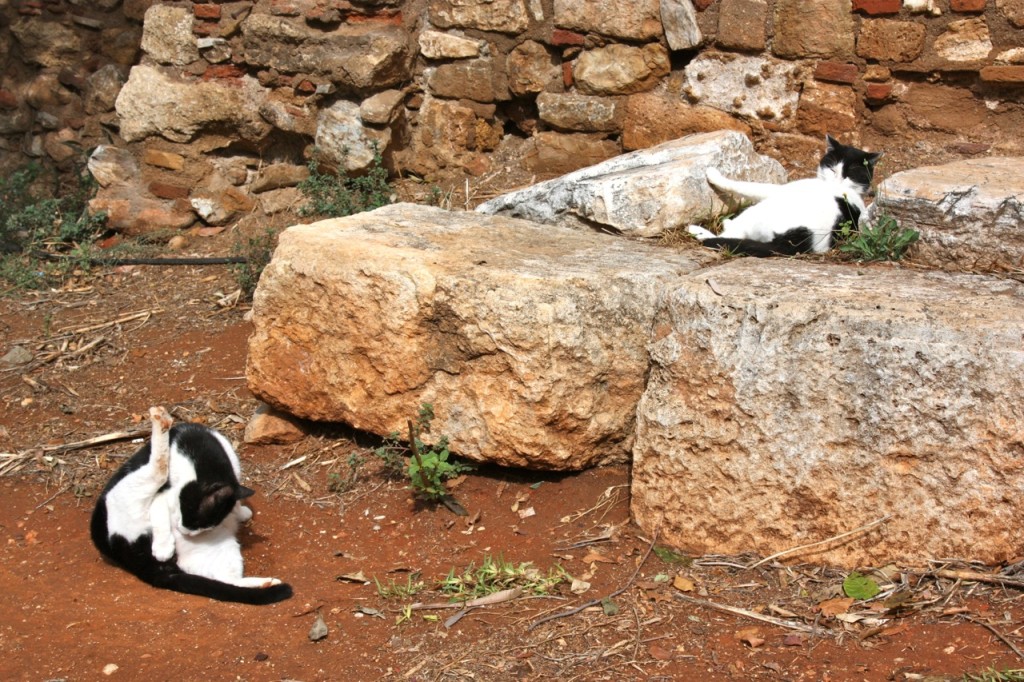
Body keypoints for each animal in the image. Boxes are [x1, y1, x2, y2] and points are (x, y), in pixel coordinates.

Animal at [90, 403, 294, 602]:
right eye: (187, 518)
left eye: (203, 526)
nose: (185, 532)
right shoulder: (163, 496)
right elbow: (161, 518)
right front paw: (163, 547)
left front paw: (240, 511)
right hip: (129, 490)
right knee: (158, 469)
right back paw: (160, 421)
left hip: (221, 550)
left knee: (228, 580)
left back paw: (267, 583)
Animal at [688, 134, 880, 256]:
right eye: (832, 168)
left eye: (849, 174)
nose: (837, 179)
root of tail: (795, 240)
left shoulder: (777, 190)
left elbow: (746, 186)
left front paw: (714, 175)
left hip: (761, 210)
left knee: (727, 236)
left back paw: (699, 229)